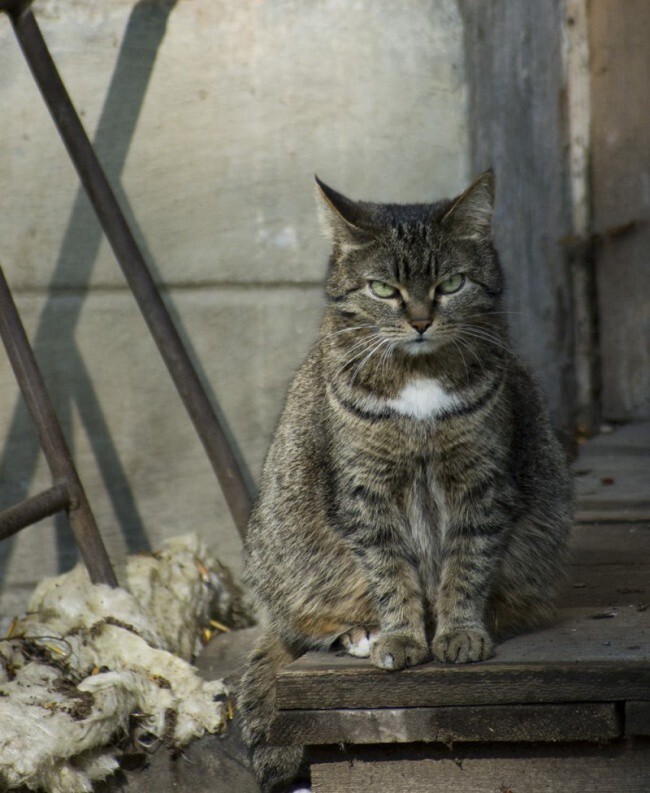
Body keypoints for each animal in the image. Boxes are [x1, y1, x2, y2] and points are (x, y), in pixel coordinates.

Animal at [237, 173, 572, 792]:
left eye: (451, 283)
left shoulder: (481, 485)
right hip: (287, 559)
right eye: (382, 289)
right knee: (301, 627)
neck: (419, 379)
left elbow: (467, 563)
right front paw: (400, 637)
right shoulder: (365, 494)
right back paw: (358, 634)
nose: (419, 320)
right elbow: (390, 571)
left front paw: (459, 631)